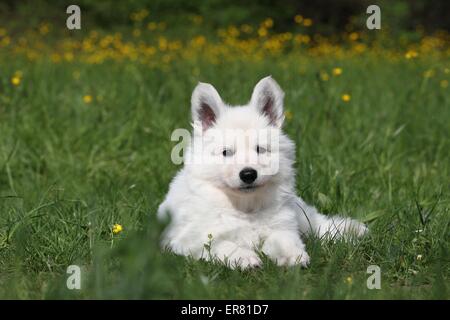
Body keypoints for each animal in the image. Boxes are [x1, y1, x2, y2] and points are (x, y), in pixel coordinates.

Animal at [156, 75, 368, 268]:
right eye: (226, 152)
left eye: (260, 149)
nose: (248, 174)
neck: (246, 207)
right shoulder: (189, 239)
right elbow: (220, 244)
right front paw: (243, 257)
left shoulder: (282, 225)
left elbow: (285, 239)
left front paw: (292, 255)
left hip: (298, 212)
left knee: (317, 223)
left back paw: (352, 230)